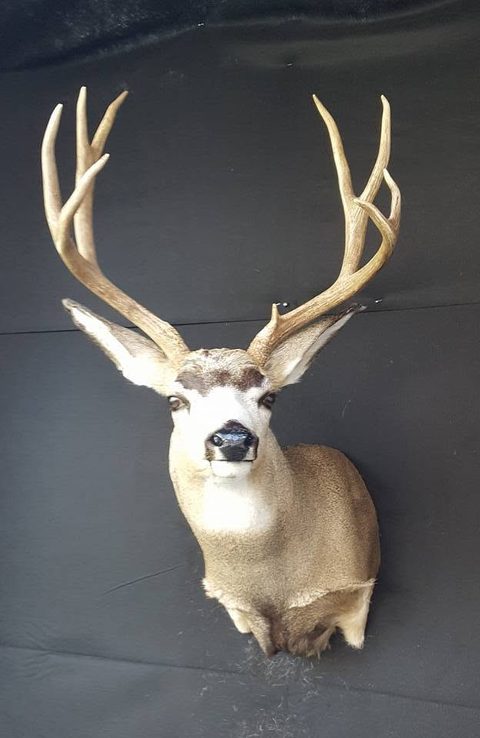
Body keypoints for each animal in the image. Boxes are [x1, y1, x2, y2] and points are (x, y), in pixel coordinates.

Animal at [41, 87, 400, 657]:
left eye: (269, 396)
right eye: (175, 399)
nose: (231, 438)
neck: (271, 584)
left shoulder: (357, 593)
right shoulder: (235, 609)